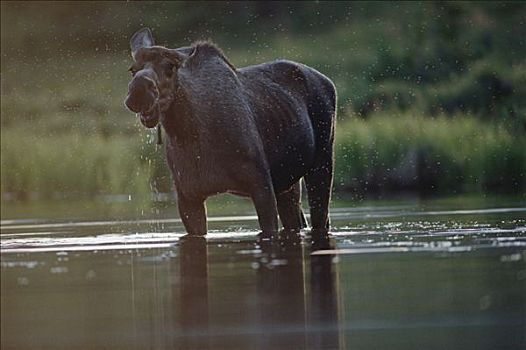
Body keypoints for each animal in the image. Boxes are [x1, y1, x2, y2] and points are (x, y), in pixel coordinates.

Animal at [126, 28, 336, 239]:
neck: (189, 135)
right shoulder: (188, 198)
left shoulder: (261, 185)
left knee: (321, 219)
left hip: (322, 162)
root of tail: (329, 81)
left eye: (170, 66)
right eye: (132, 69)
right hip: (288, 183)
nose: (138, 90)